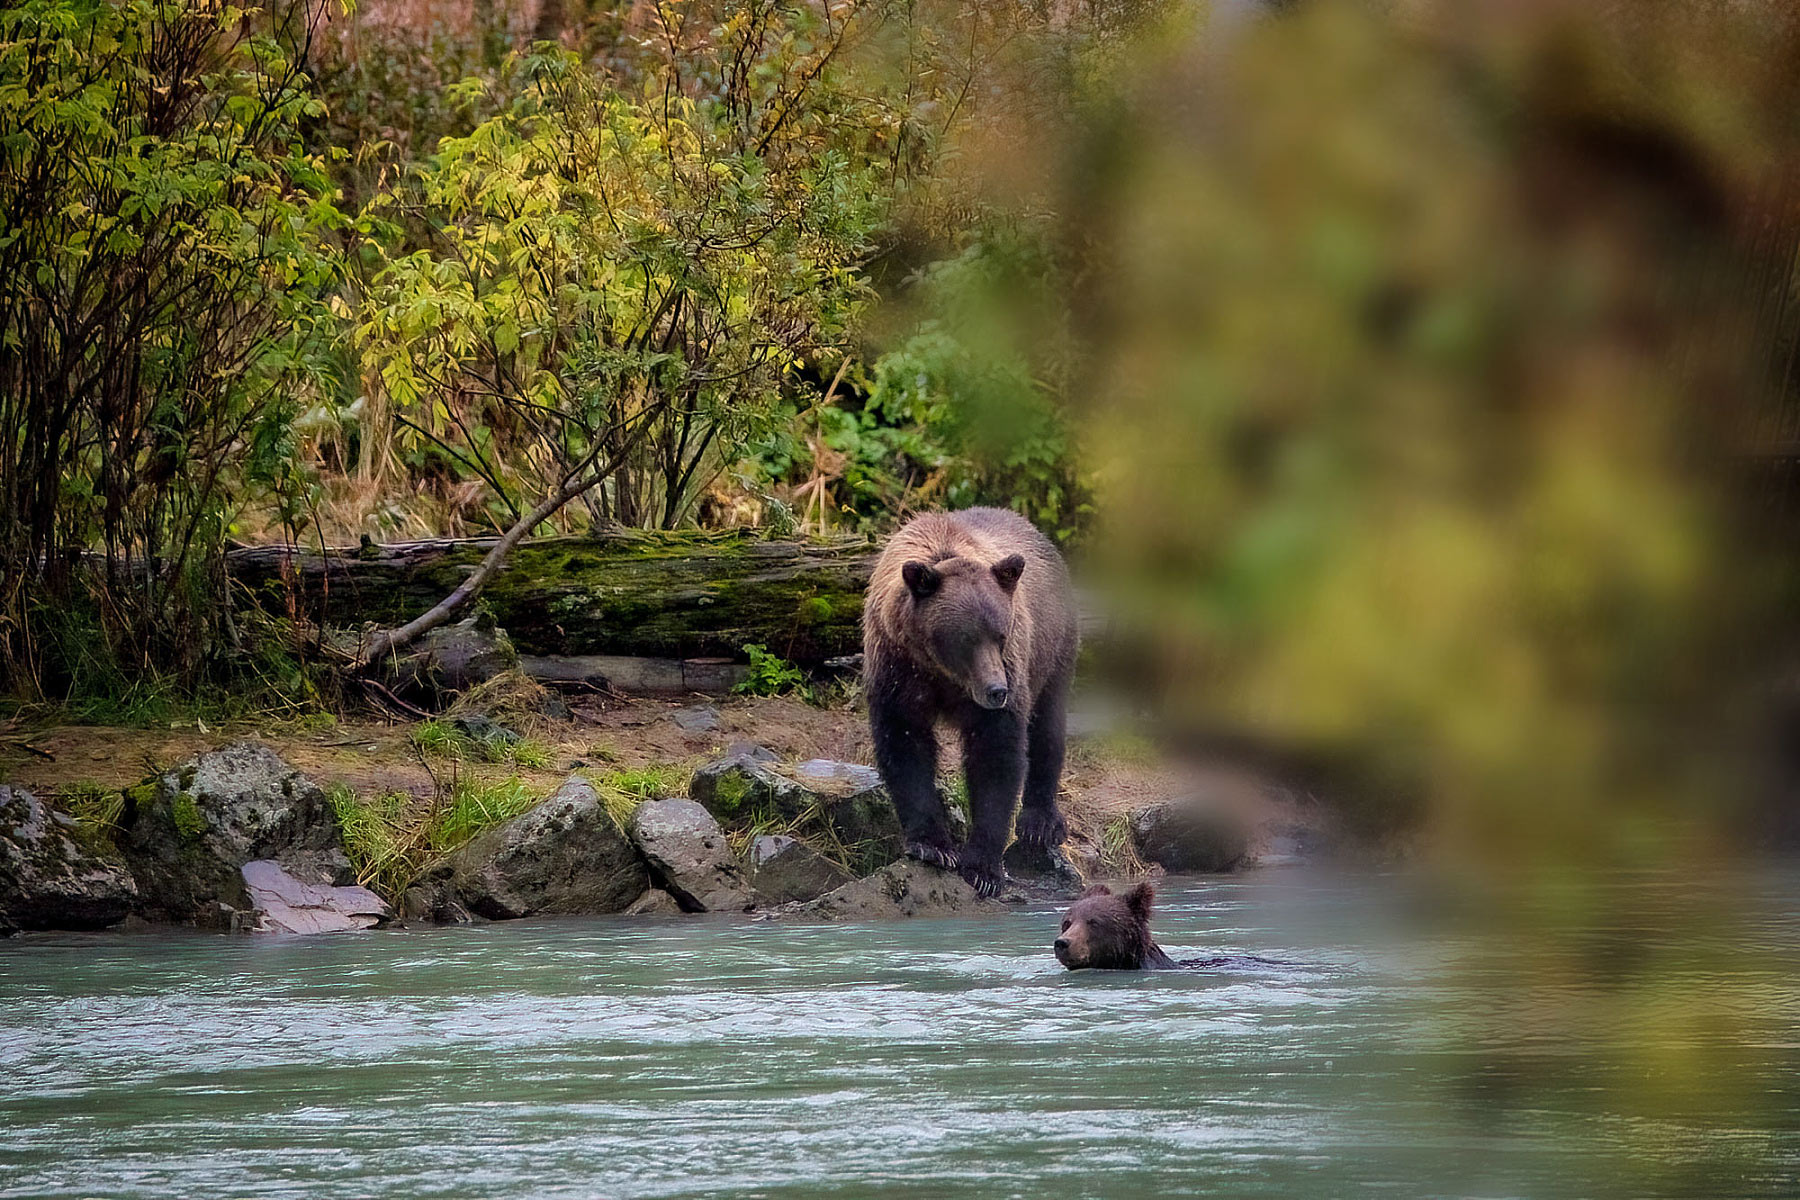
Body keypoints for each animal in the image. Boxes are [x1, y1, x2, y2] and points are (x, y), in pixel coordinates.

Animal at [860, 503, 1072, 892]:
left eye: (1000, 634)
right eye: (967, 638)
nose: (997, 690)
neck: (943, 673)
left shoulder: (1007, 670)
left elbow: (995, 753)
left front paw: (983, 867)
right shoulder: (897, 668)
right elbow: (905, 745)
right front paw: (933, 846)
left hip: (1054, 647)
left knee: (1047, 724)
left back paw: (1041, 823)